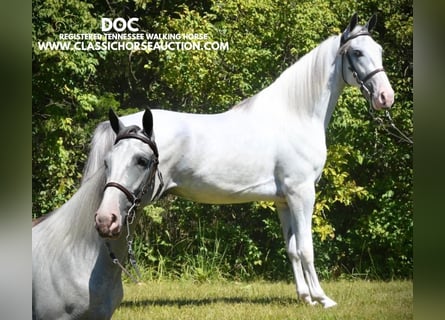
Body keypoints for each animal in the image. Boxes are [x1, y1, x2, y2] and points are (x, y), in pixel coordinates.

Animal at [88, 13, 394, 308]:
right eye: (356, 52)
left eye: (379, 50)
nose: (385, 97)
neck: (295, 114)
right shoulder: (302, 192)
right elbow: (306, 248)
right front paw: (322, 299)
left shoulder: (284, 200)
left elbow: (292, 249)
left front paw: (305, 298)